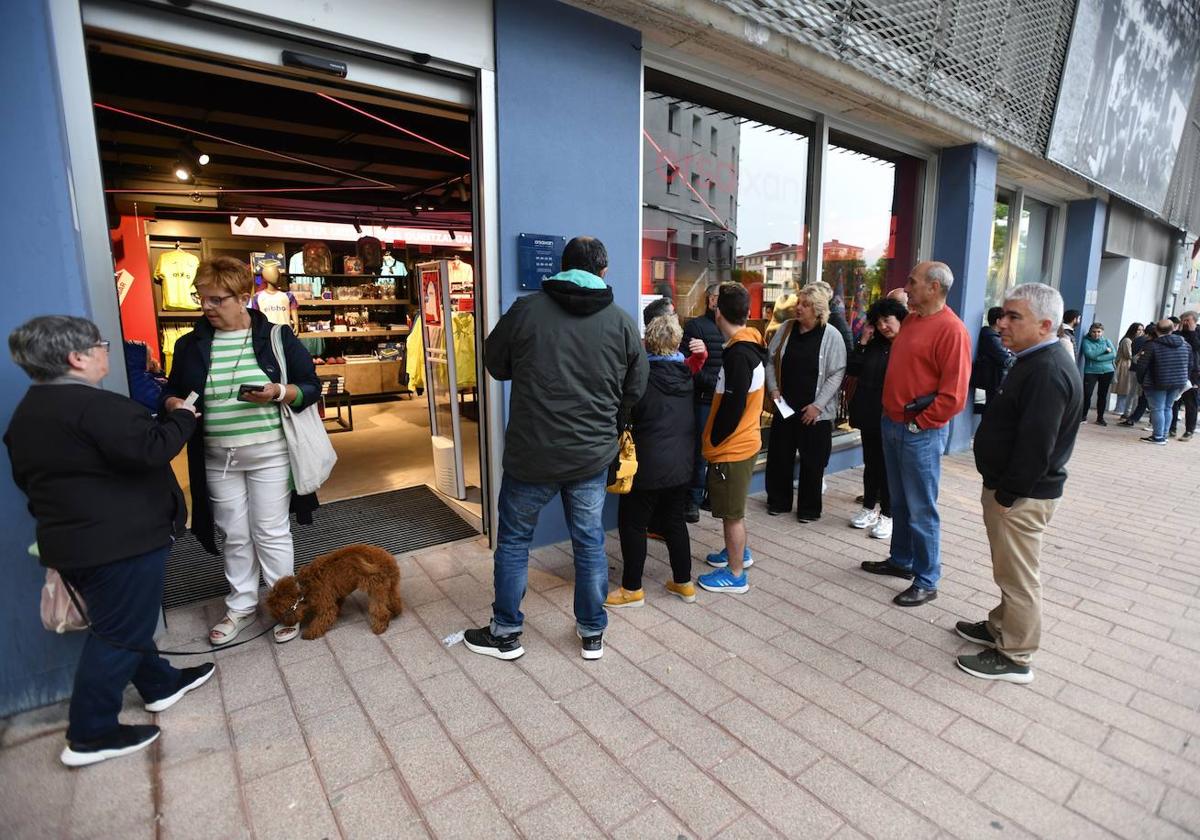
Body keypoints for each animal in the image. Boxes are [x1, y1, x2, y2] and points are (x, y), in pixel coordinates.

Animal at [265, 542, 400, 638]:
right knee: (394, 599)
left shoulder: (325, 603)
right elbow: (337, 604)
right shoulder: (335, 595)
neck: (302, 586)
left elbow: (322, 618)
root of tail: (387, 560)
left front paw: (310, 633)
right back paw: (396, 611)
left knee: (380, 610)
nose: (287, 625)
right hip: (390, 586)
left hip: (376, 587)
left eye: (280, 614)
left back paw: (380, 626)